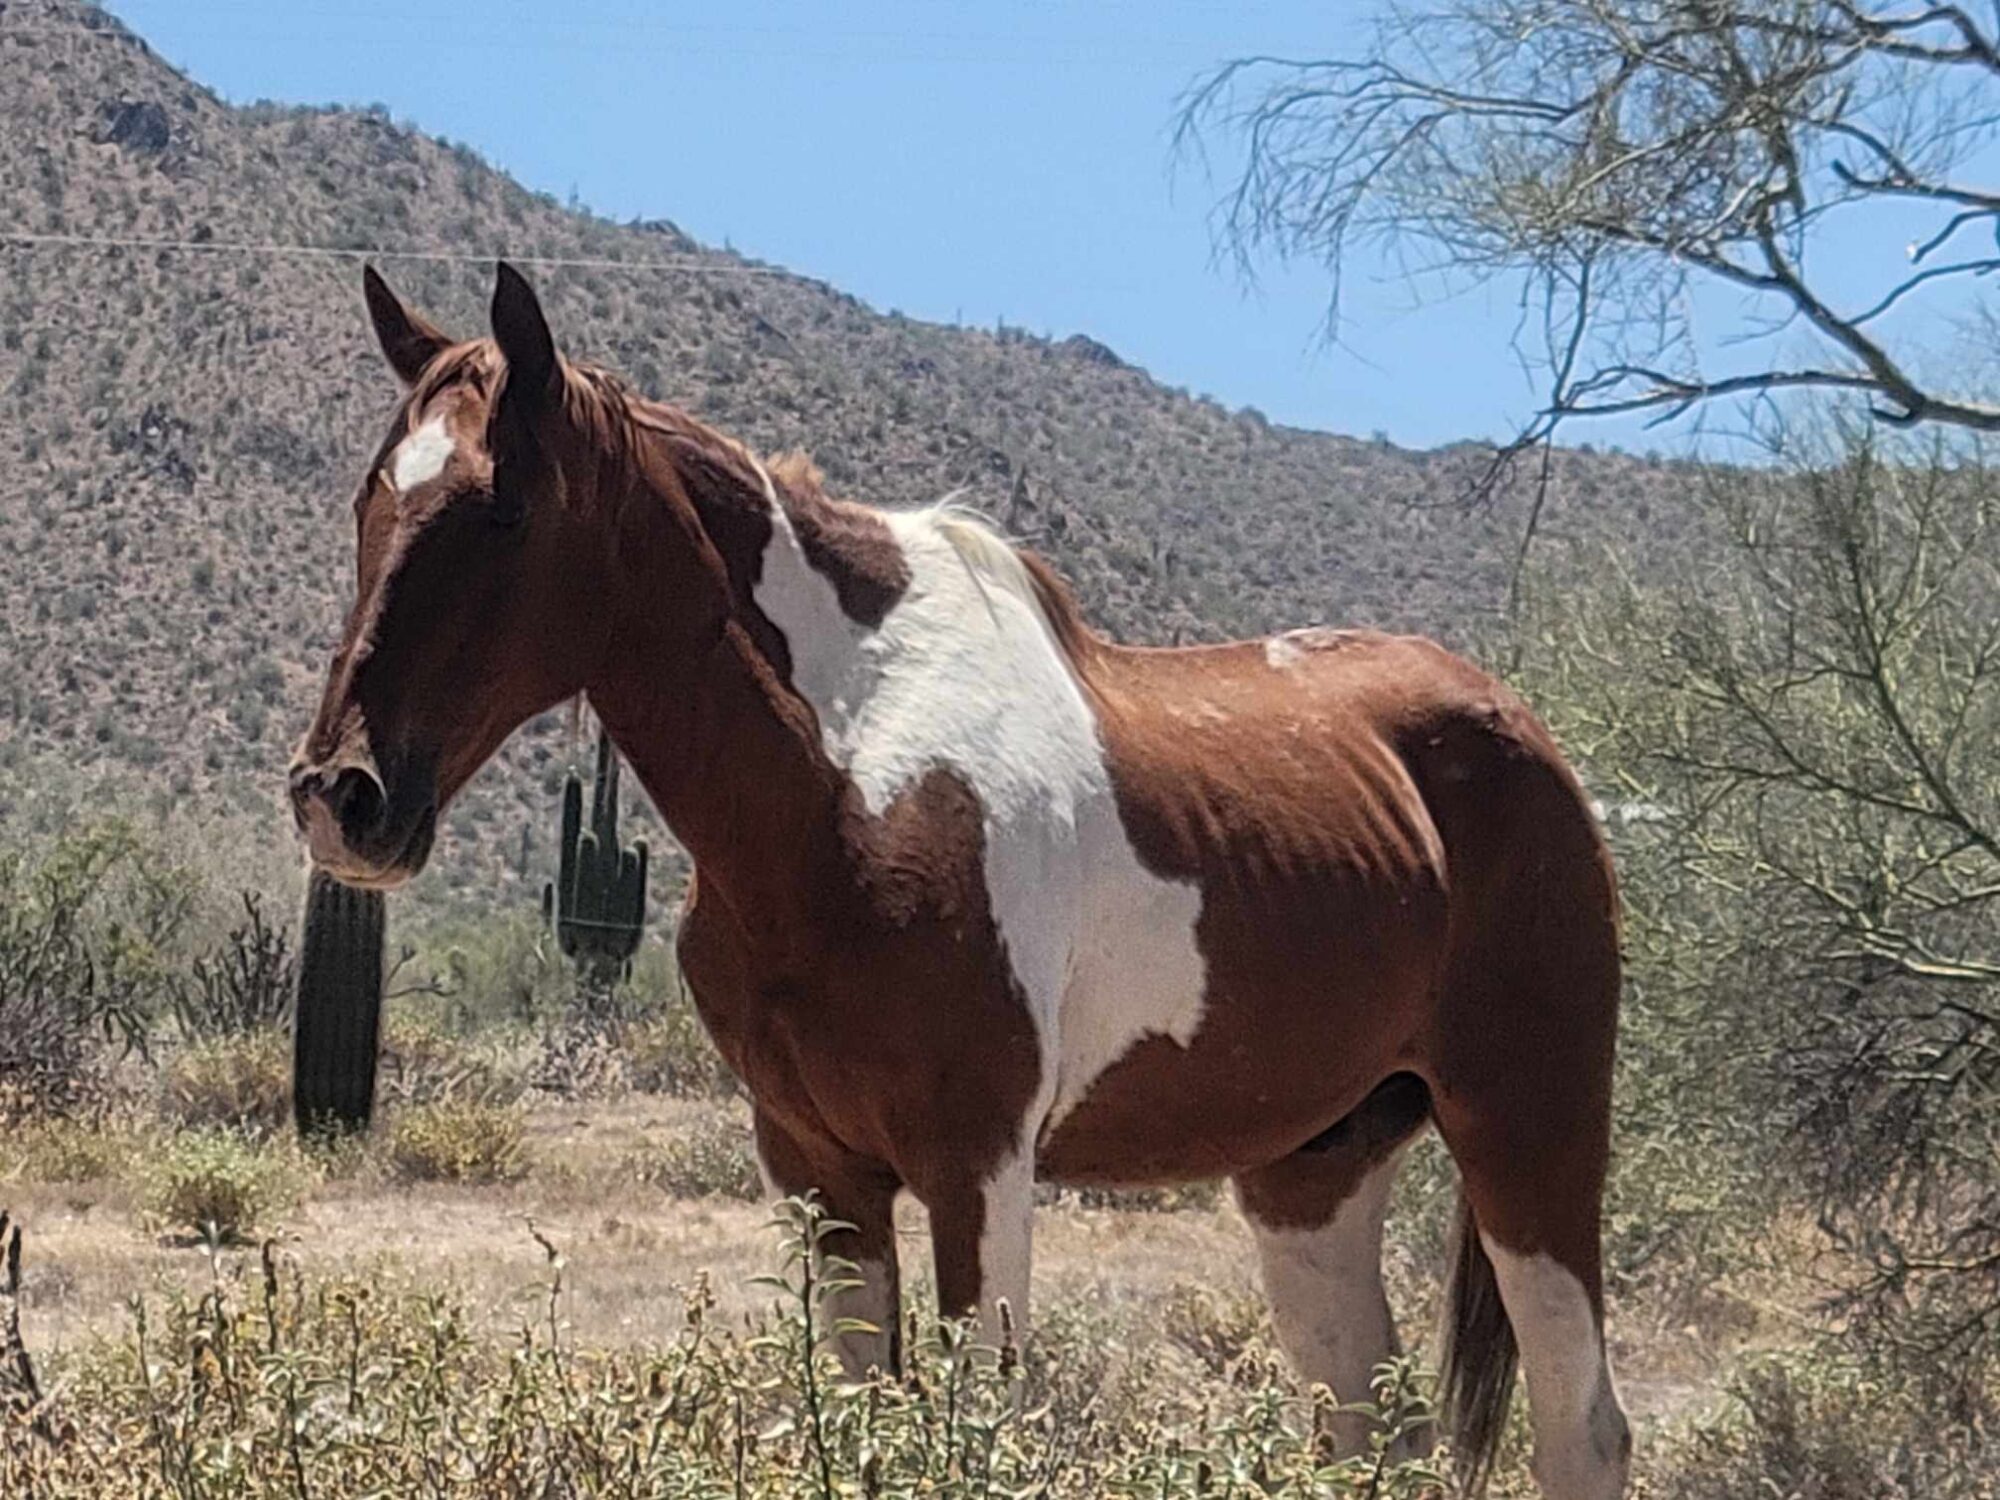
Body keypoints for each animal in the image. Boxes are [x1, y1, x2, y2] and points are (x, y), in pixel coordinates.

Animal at [289, 263, 1631, 1500]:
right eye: (368, 498)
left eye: (504, 510)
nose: (340, 797)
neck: (847, 784)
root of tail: (1525, 737)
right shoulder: (820, 1169)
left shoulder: (975, 1168)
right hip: (1312, 1175)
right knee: (1374, 1433)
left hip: (1526, 1135)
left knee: (1584, 1432)